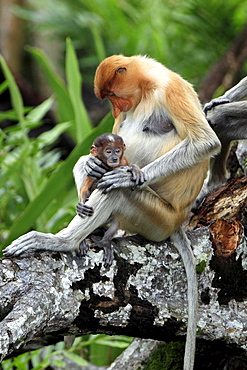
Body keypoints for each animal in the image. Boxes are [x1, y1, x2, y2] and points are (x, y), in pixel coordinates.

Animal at [75, 133, 145, 266]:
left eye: (117, 151)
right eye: (108, 151)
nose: (114, 158)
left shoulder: (123, 161)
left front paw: (135, 170)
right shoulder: (96, 169)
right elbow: (84, 188)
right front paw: (81, 207)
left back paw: (105, 242)